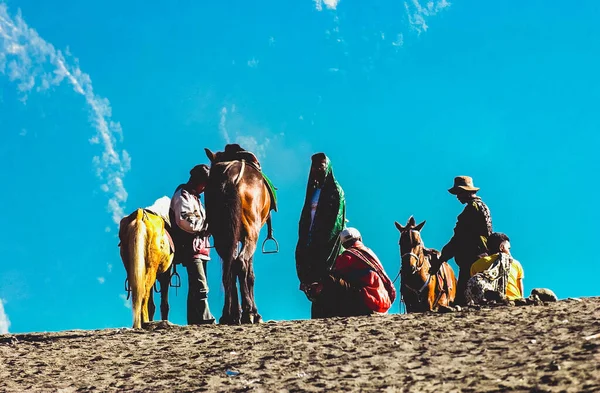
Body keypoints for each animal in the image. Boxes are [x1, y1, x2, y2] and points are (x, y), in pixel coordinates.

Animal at [206, 145, 272, 324]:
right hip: (251, 234)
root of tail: (230, 179)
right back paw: (248, 312)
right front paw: (254, 313)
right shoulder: (249, 236)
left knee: (229, 268)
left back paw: (230, 314)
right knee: (240, 263)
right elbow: (250, 274)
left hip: (223, 235)